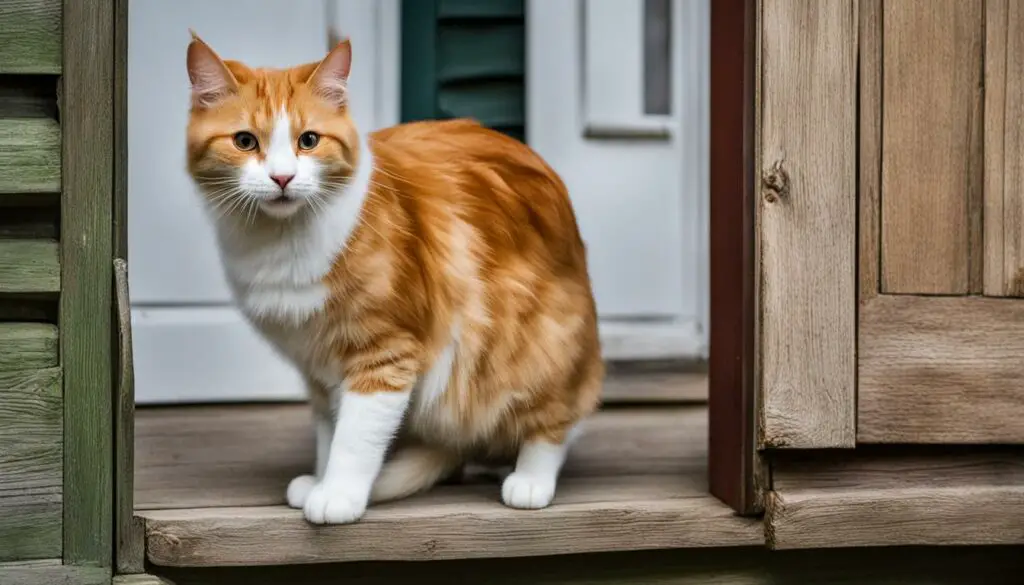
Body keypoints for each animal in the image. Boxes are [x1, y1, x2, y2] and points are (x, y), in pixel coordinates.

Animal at [184, 34, 602, 524]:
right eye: (245, 141)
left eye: (309, 141)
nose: (282, 178)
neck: (280, 242)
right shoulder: (320, 370)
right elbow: (330, 435)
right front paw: (323, 481)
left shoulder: (384, 354)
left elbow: (354, 439)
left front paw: (338, 495)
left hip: (531, 346)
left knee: (554, 424)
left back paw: (531, 480)